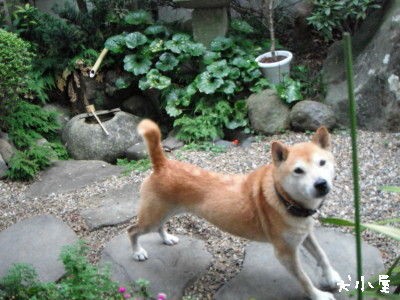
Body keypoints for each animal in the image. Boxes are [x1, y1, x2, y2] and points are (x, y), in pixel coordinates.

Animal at [130, 119, 342, 300]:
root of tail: (162, 164)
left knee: (159, 226)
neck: (285, 199)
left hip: (164, 213)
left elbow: (322, 255)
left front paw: (332, 277)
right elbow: (304, 278)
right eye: (298, 170)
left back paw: (166, 238)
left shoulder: (305, 234)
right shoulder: (285, 253)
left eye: (322, 163)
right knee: (132, 231)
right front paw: (318, 295)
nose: (321, 184)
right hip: (151, 218)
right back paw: (137, 252)